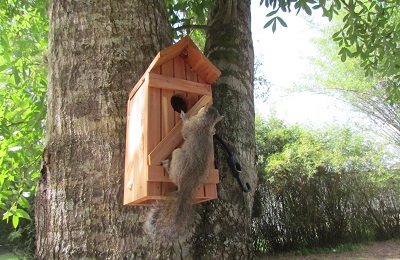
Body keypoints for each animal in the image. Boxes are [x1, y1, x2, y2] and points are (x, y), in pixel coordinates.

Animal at [145, 103, 225, 242]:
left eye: (203, 106)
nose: (205, 104)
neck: (206, 122)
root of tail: (186, 185)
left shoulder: (191, 126)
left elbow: (185, 131)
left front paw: (184, 117)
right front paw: (213, 131)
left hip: (177, 154)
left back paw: (166, 165)